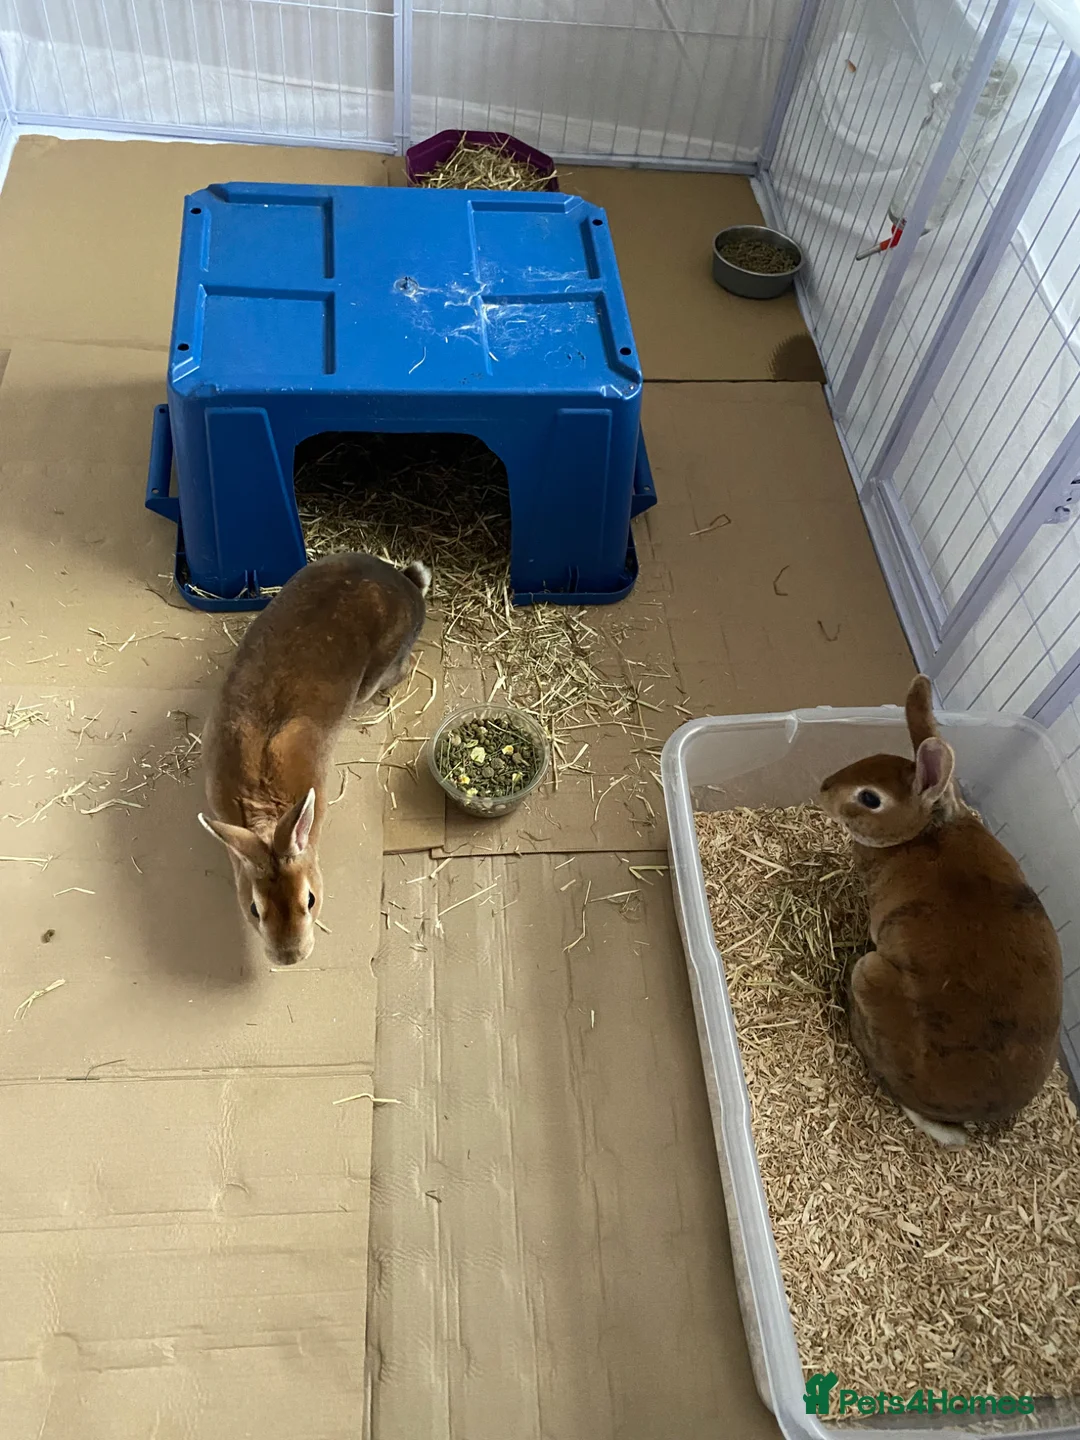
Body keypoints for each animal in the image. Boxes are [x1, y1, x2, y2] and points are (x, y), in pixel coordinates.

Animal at [198, 551, 431, 967]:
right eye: (255, 909)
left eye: (310, 900)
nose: (290, 958)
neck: (263, 809)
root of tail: (404, 582)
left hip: (380, 671)